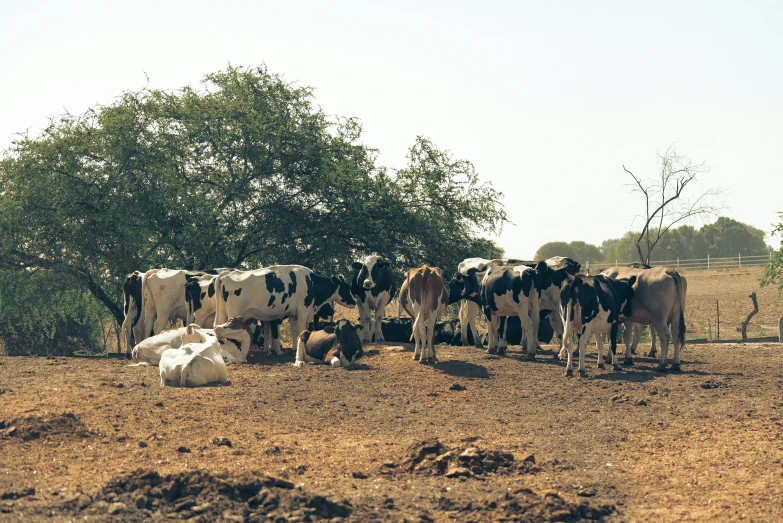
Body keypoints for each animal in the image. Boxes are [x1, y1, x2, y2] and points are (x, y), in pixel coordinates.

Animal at [214, 264, 356, 354]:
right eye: (347, 287)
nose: (354, 301)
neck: (310, 282)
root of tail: (225, 274)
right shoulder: (303, 312)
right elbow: (302, 329)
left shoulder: (293, 314)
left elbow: (294, 331)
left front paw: (294, 349)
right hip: (234, 314)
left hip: (222, 313)